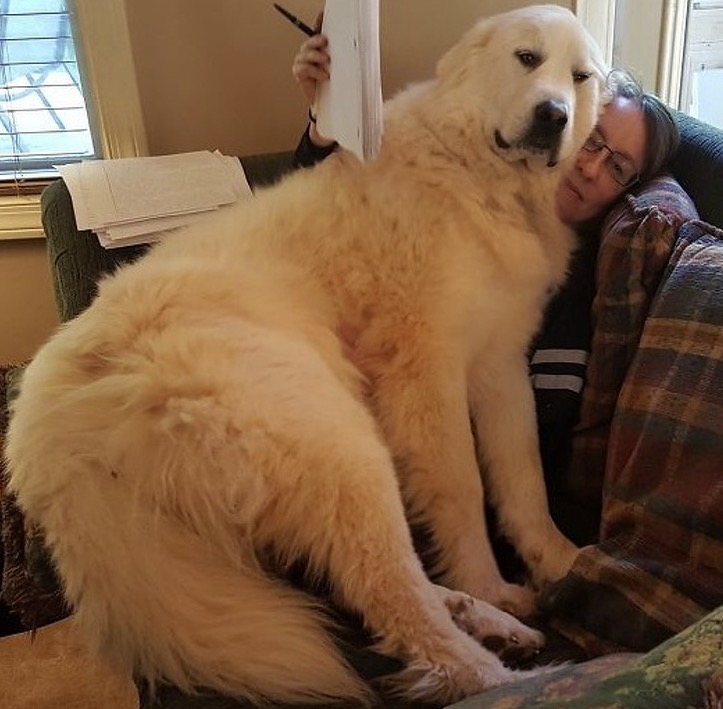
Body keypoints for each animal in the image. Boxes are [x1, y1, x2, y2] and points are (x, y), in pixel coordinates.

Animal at [4, 4, 604, 704]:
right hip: (341, 445)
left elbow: (523, 479)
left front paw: (557, 560)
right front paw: (491, 583)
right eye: (527, 59)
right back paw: (500, 670)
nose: (554, 115)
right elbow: (463, 493)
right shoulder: (427, 373)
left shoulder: (500, 363)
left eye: (581, 77)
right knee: (396, 600)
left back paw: (489, 623)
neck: (479, 174)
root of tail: (51, 429)